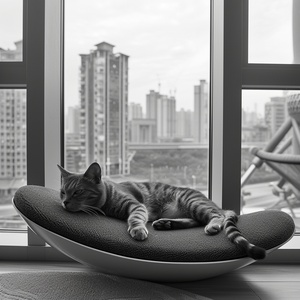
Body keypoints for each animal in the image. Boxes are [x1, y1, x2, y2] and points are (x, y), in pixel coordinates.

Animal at [57, 162, 266, 260]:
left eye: (78, 192)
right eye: (62, 192)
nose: (65, 202)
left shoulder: (136, 206)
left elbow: (135, 219)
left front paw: (137, 229)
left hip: (191, 202)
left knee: (217, 216)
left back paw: (213, 225)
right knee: (196, 221)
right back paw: (166, 224)